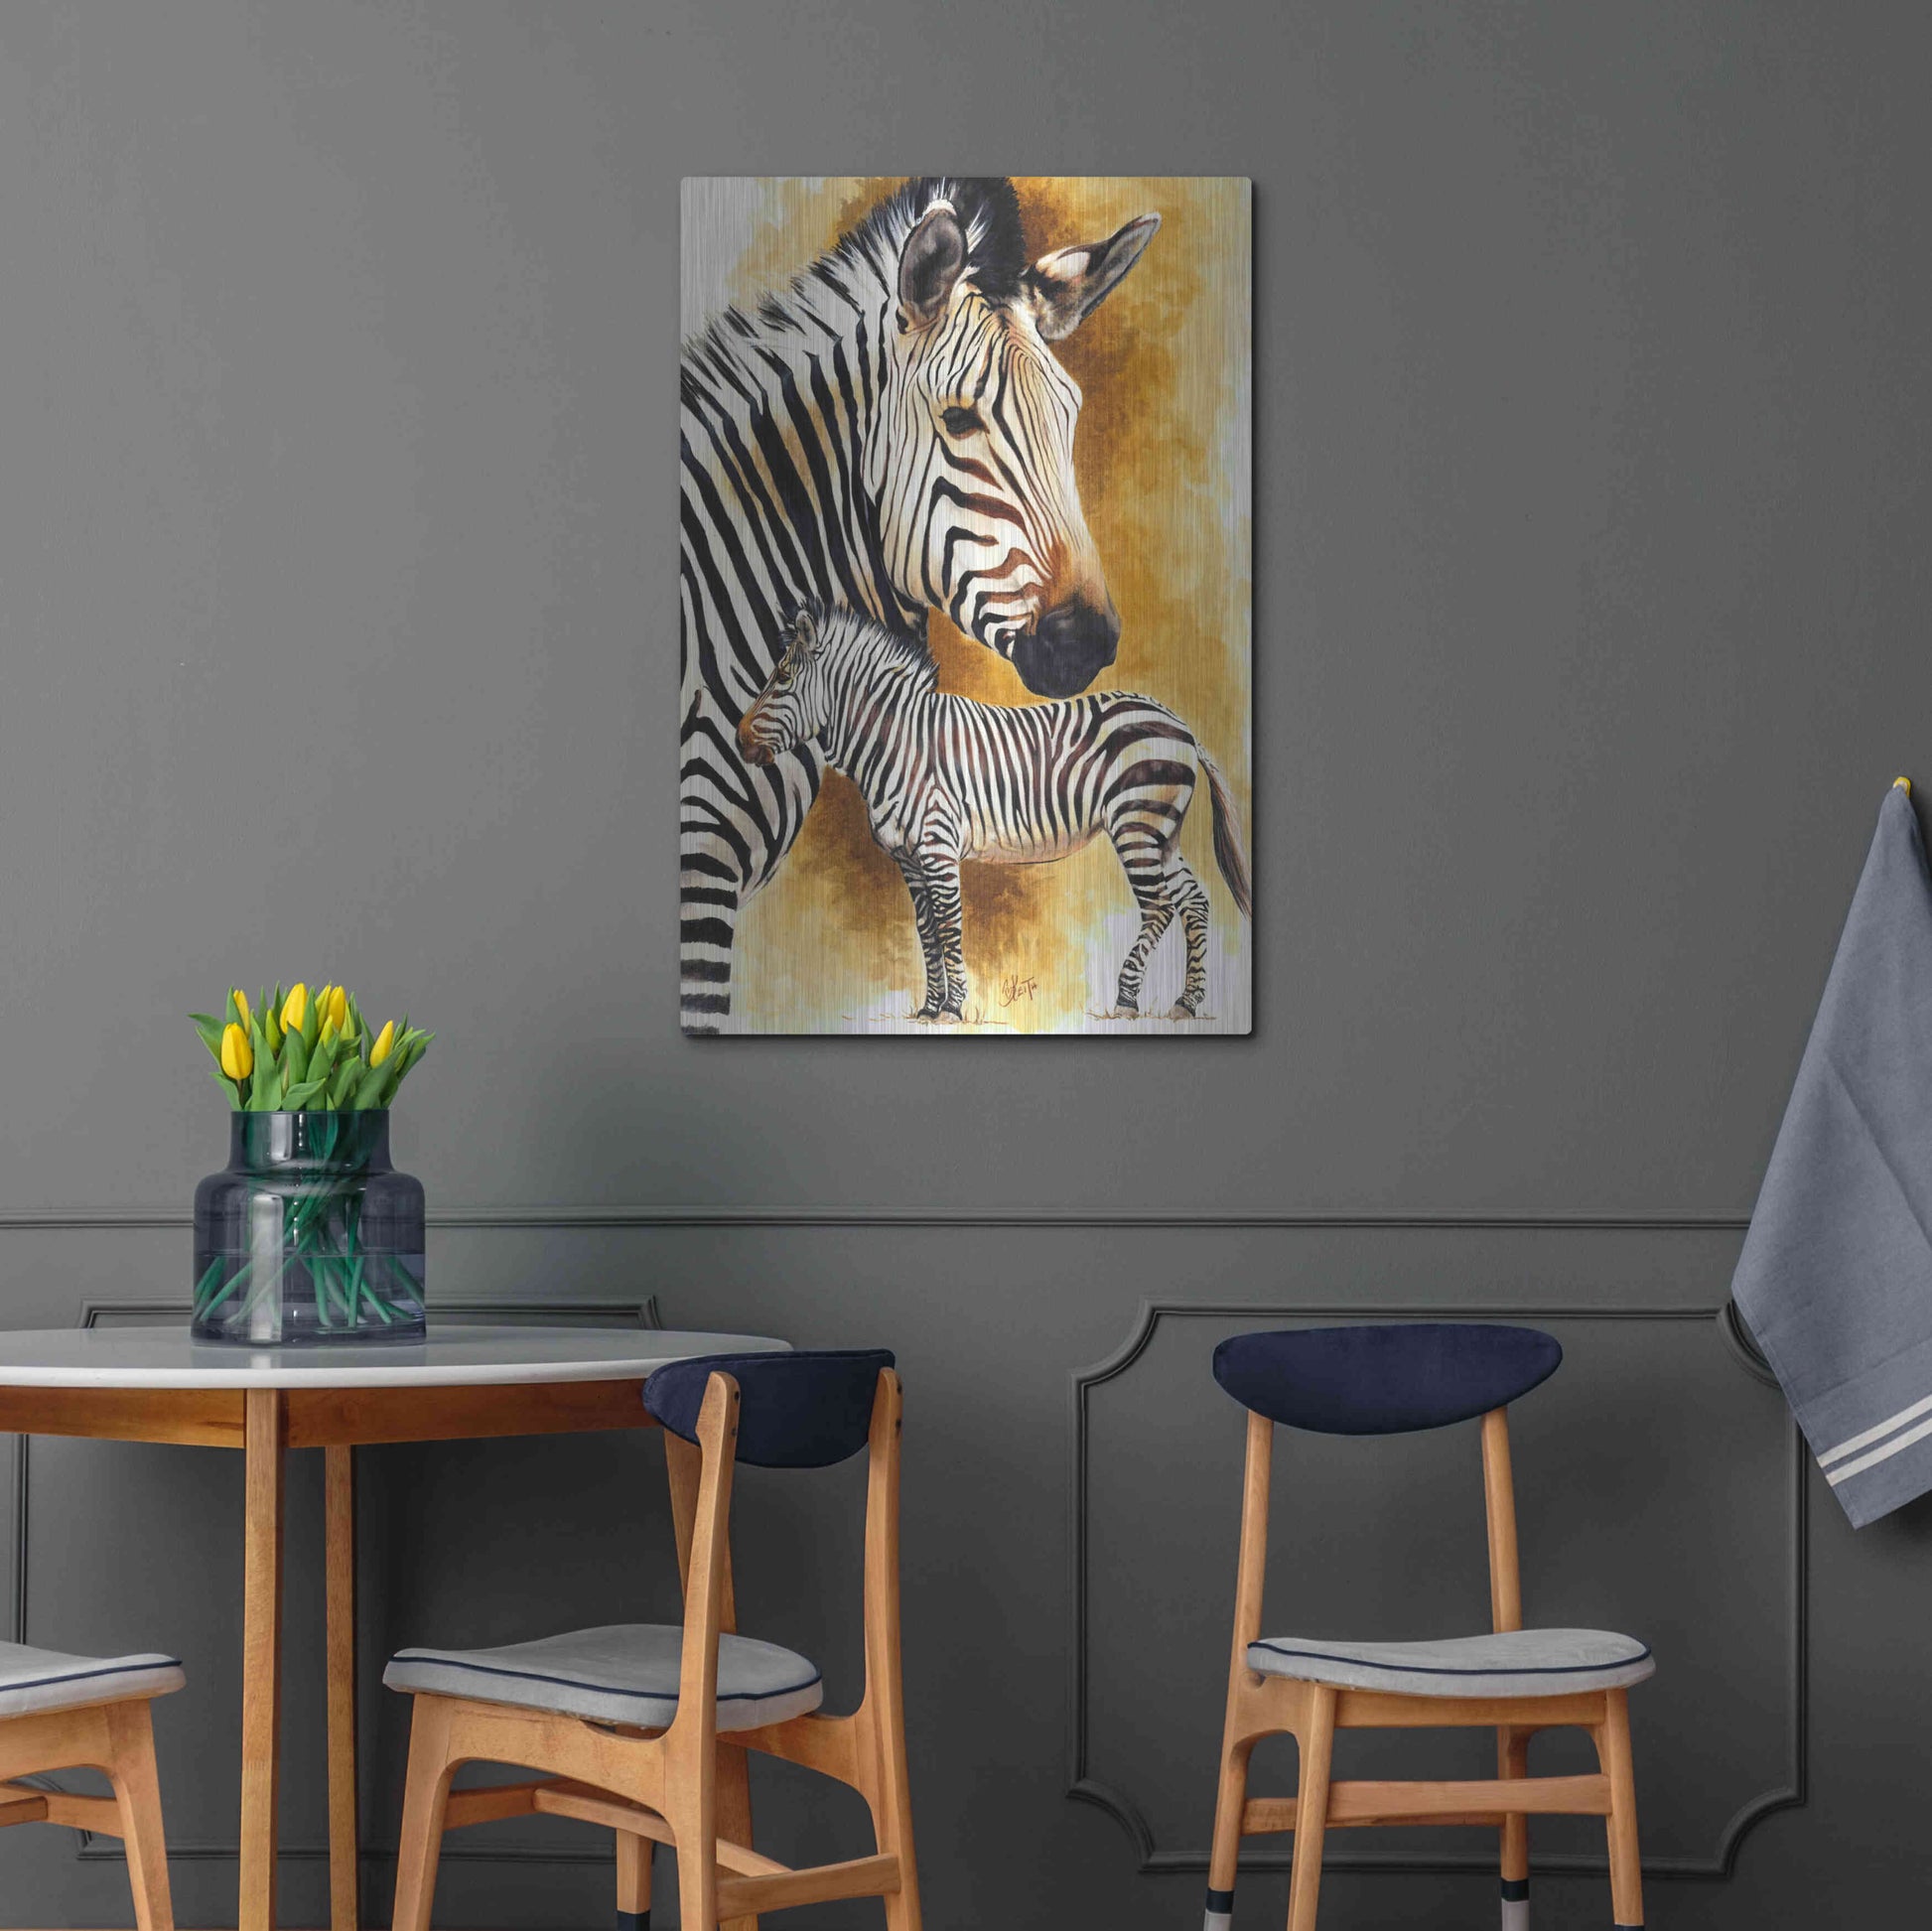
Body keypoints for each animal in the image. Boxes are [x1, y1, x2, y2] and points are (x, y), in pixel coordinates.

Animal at [738, 600, 1253, 1022]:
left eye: (782, 680)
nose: (740, 739)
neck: (900, 745)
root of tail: (1181, 725)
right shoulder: (910, 860)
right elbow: (926, 931)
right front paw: (929, 1008)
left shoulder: (938, 848)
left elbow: (949, 926)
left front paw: (953, 1008)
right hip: (1163, 833)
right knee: (1195, 902)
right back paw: (1186, 1002)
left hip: (1137, 825)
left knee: (1160, 906)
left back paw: (1127, 1000)